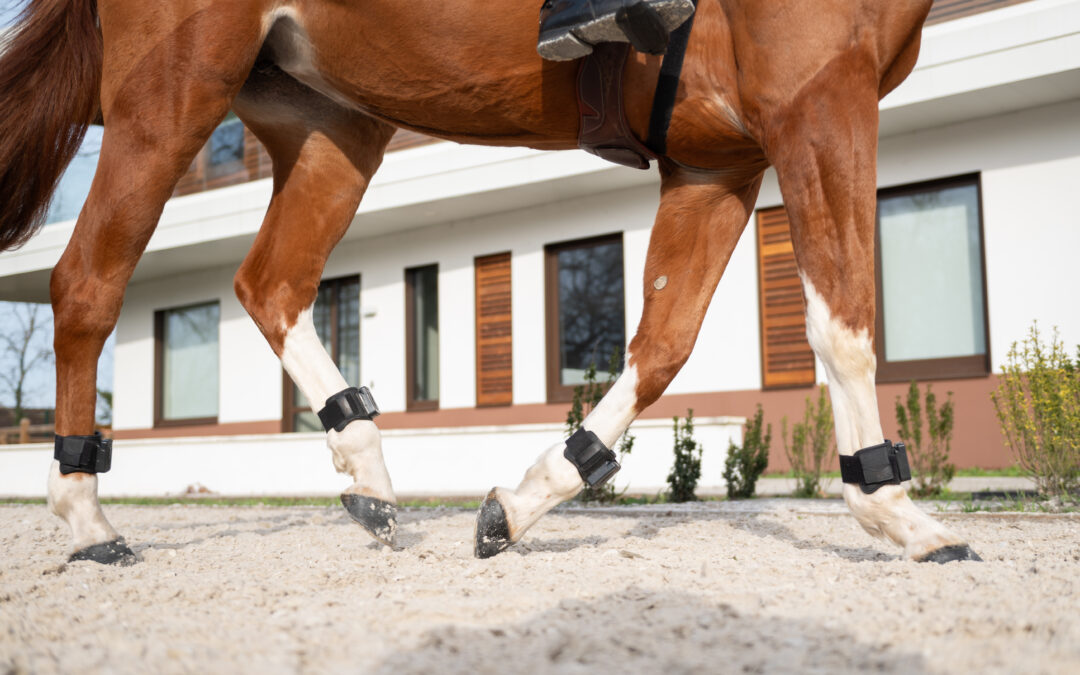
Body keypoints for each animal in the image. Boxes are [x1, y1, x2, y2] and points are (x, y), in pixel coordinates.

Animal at [0, 0, 981, 564]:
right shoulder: (815, 95)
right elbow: (844, 316)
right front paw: (898, 512)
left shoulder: (719, 159)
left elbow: (664, 343)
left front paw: (523, 500)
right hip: (171, 90)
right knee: (86, 281)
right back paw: (87, 521)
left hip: (333, 125)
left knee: (270, 283)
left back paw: (368, 471)